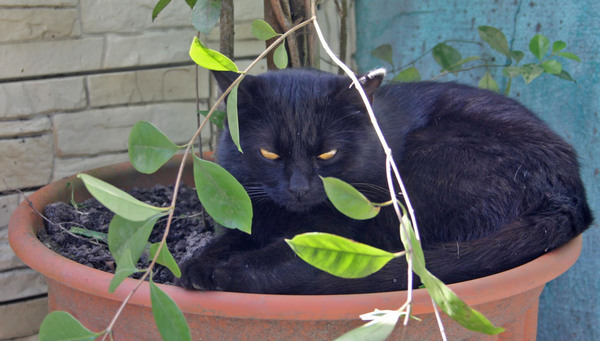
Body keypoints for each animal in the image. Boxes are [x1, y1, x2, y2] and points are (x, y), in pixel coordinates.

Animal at [177, 67, 592, 294]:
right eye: (269, 154)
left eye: (327, 154)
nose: (299, 188)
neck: (287, 218)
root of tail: (569, 195)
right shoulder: (251, 214)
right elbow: (226, 240)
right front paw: (196, 264)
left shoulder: (338, 237)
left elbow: (280, 257)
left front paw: (220, 272)